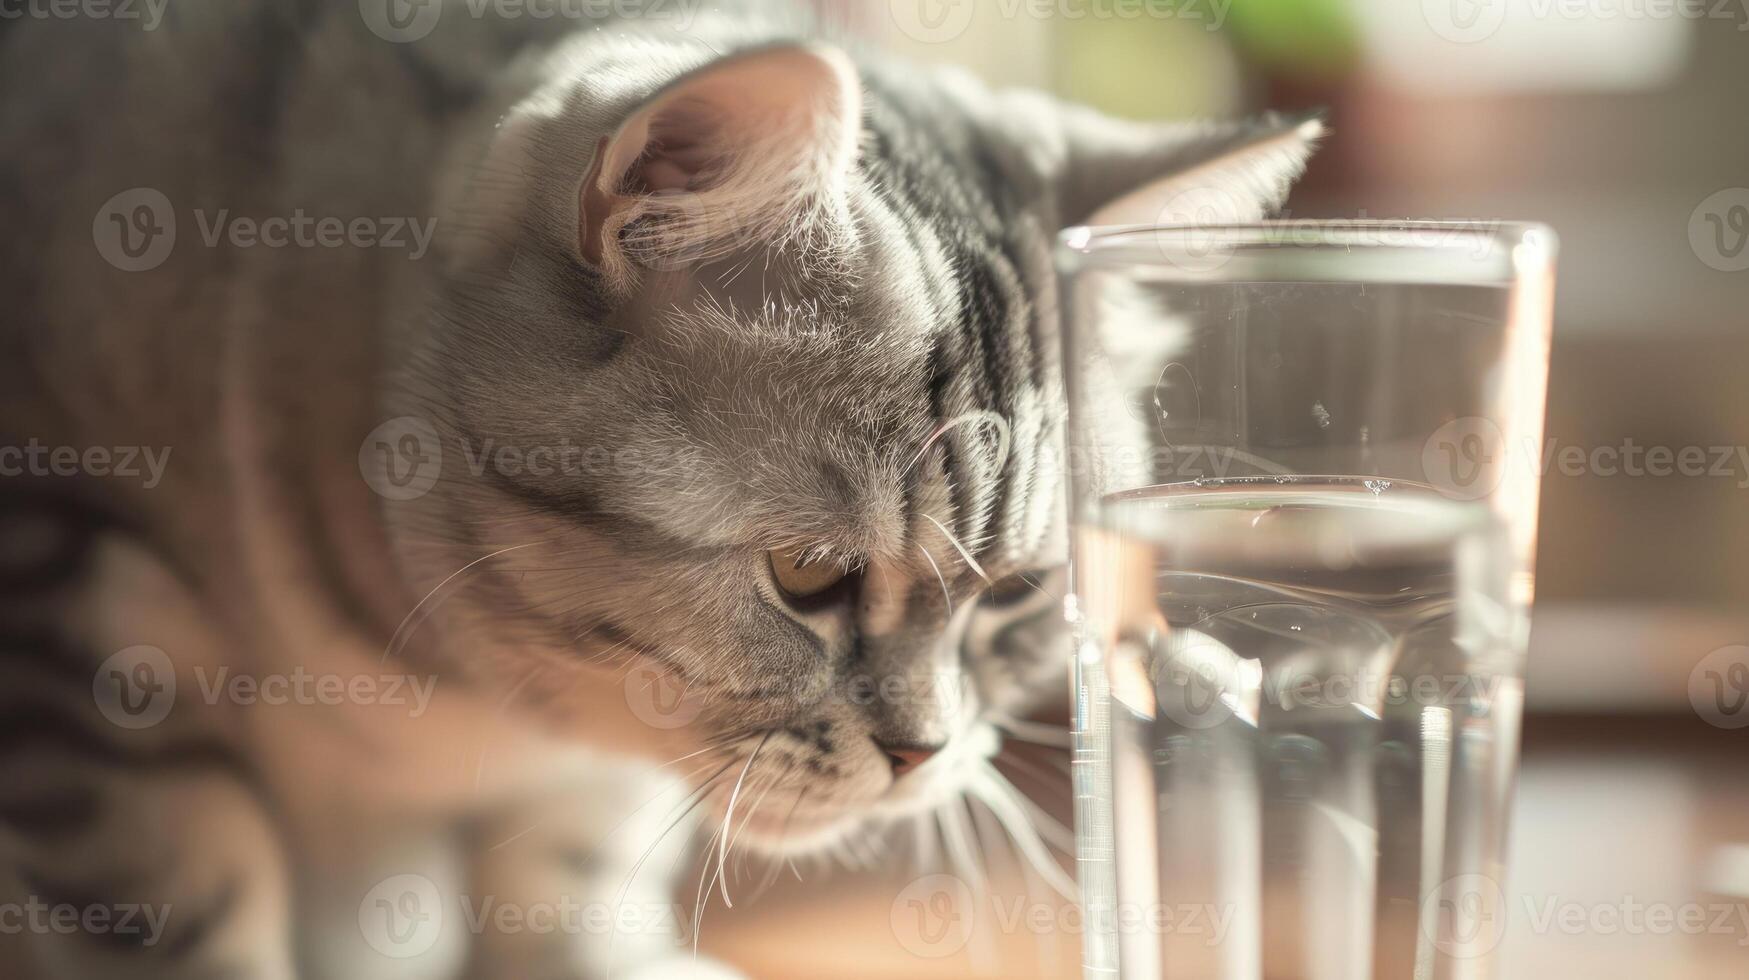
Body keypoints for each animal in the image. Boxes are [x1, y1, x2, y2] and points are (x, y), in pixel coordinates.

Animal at [0, 3, 1315, 973]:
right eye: (808, 574)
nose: (923, 752)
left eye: (1019, 597)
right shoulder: (73, 611)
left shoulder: (581, 803)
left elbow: (565, 896)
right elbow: (185, 912)